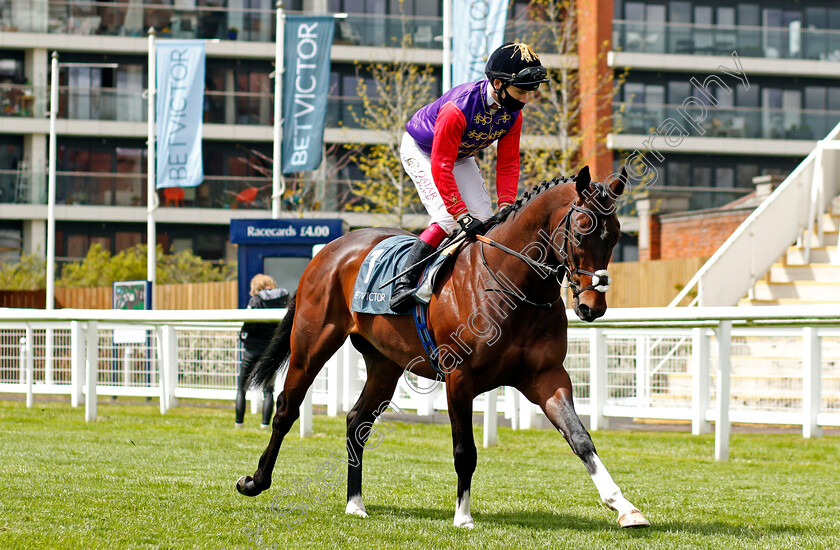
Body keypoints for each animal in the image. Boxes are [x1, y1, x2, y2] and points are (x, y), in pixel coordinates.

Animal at [236, 167, 648, 532]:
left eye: (615, 236)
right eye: (581, 230)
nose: (593, 306)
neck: (512, 287)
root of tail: (327, 252)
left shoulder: (547, 377)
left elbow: (580, 438)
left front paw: (624, 507)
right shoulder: (459, 378)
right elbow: (465, 451)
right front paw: (463, 516)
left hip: (385, 364)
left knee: (356, 422)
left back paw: (355, 504)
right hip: (311, 345)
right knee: (286, 409)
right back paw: (255, 481)